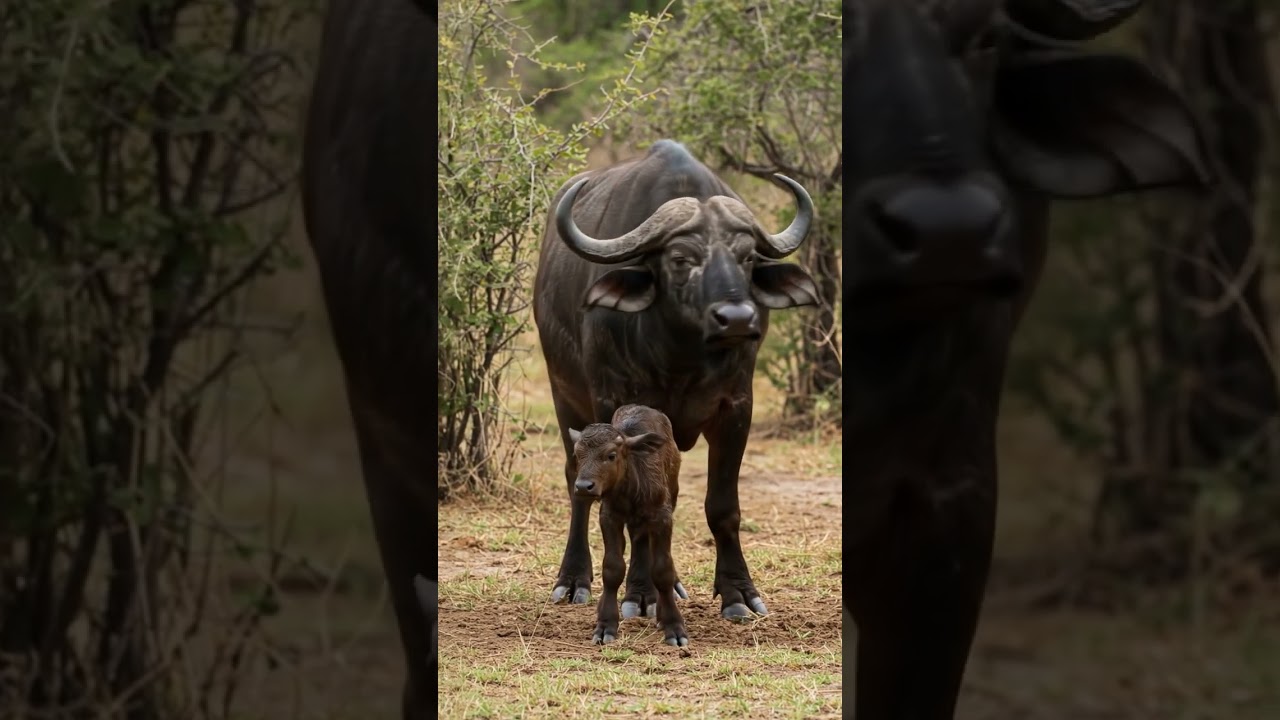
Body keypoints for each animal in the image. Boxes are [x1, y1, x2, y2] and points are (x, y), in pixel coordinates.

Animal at [570, 405, 688, 647]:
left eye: (611, 455)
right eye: (577, 455)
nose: (584, 486)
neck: (631, 487)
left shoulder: (662, 518)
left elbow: (663, 570)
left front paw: (673, 626)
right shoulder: (609, 517)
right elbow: (612, 568)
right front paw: (605, 625)